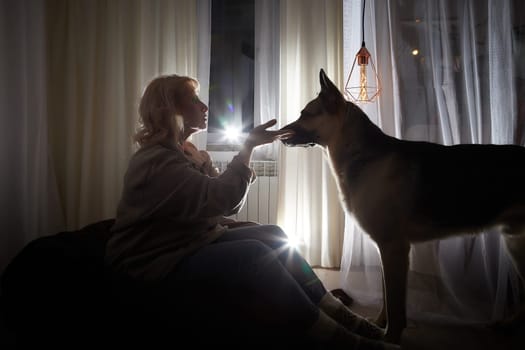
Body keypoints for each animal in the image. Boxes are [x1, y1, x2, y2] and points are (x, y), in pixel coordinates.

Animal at [280, 69, 520, 344]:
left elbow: (395, 304)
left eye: (306, 114)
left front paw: (390, 338)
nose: (279, 133)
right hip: (516, 243)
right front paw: (377, 325)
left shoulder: (394, 248)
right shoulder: (386, 250)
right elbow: (387, 298)